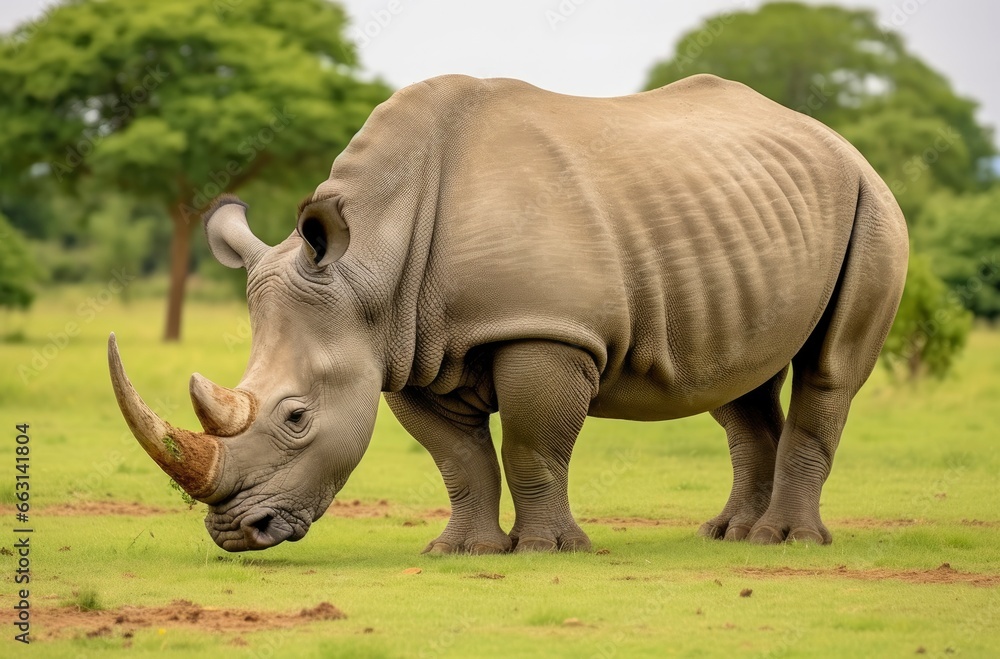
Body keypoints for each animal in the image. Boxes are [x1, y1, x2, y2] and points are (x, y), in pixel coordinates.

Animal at [109, 74, 908, 553]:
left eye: (298, 416)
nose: (236, 533)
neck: (371, 266)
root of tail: (838, 139)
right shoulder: (406, 348)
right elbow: (457, 458)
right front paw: (459, 550)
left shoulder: (545, 331)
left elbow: (532, 445)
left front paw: (551, 550)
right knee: (735, 381)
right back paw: (729, 535)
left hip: (872, 202)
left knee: (828, 372)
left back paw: (788, 542)